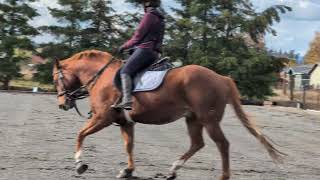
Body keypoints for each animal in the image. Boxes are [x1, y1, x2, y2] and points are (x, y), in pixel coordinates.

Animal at [53, 50, 284, 180]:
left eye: (57, 79)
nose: (62, 104)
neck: (102, 76)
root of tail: (221, 78)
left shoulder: (103, 118)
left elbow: (80, 134)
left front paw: (79, 164)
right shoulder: (125, 123)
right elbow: (129, 146)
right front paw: (128, 171)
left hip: (209, 120)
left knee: (222, 144)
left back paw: (223, 176)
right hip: (193, 119)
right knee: (197, 144)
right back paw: (173, 170)